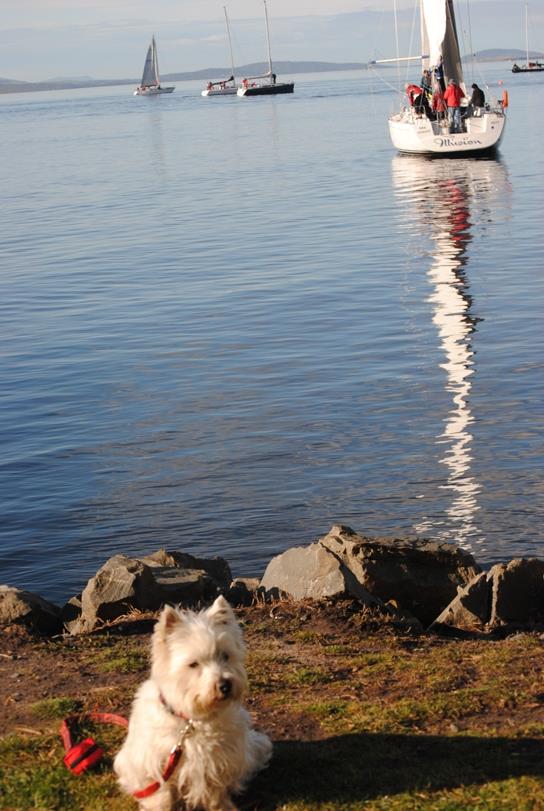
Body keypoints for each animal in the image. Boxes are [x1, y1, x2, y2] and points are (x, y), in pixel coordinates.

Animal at [116, 592, 274, 808]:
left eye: (225, 655)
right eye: (193, 664)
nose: (225, 685)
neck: (193, 719)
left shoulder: (217, 761)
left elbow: (215, 791)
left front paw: (222, 807)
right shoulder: (153, 764)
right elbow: (161, 795)